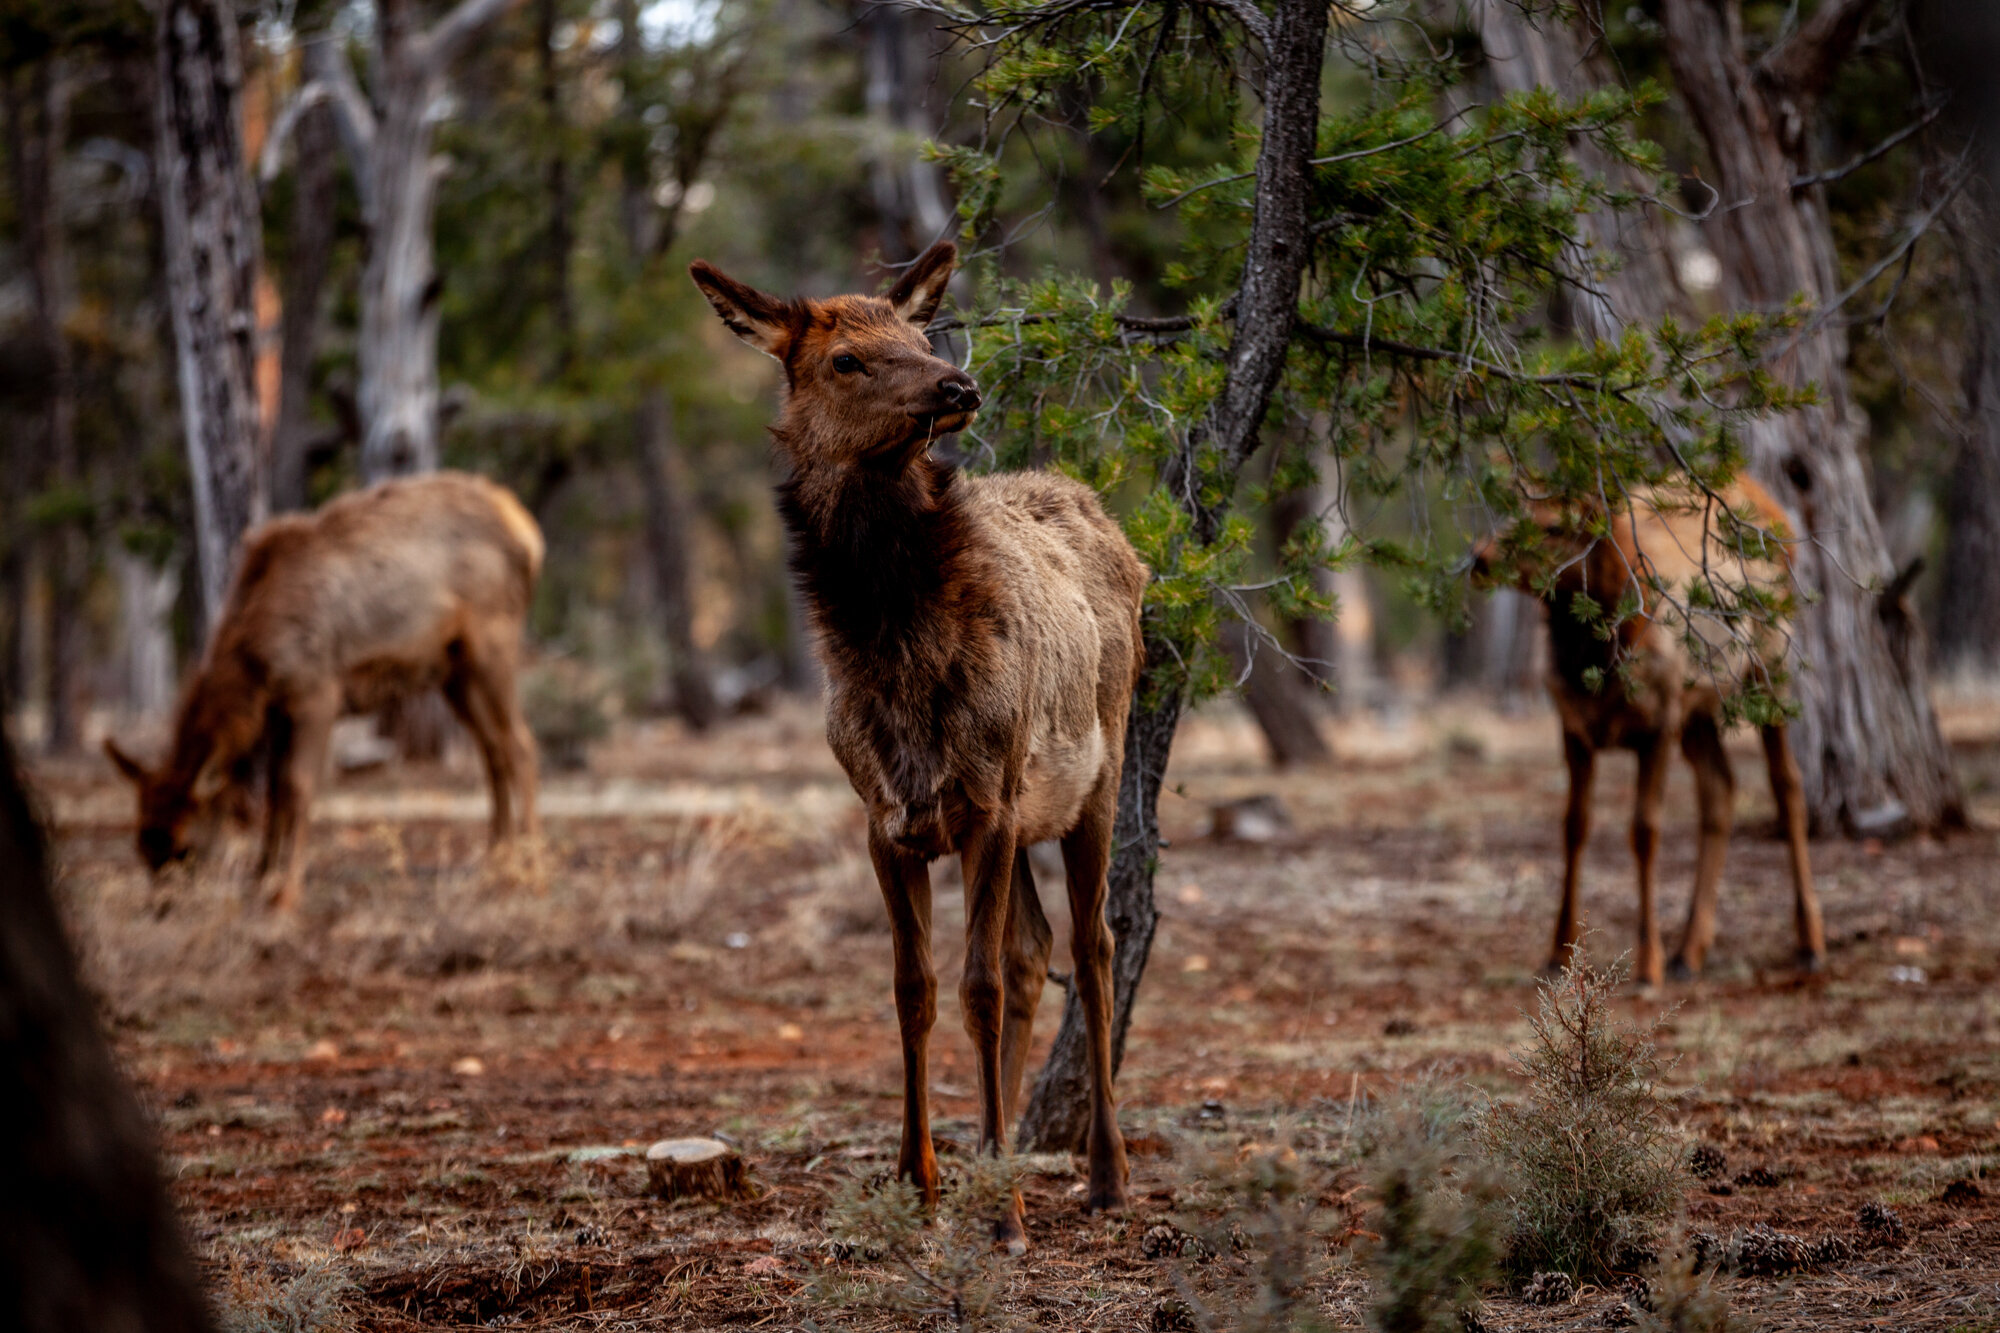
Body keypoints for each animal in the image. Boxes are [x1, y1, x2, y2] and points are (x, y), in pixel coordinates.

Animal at [105, 470, 544, 912]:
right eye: (141, 846)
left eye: (184, 847)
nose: (162, 907)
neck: (255, 666)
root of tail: (529, 536)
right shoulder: (279, 711)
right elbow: (274, 792)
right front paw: (261, 878)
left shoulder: (317, 692)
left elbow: (298, 788)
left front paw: (286, 892)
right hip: (453, 671)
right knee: (493, 751)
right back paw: (495, 862)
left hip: (492, 643)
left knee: (521, 744)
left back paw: (526, 870)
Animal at [696, 239, 1152, 1248]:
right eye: (846, 358)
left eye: (919, 333)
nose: (959, 385)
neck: (897, 649)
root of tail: (1105, 513)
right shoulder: (886, 816)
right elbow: (915, 987)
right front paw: (921, 1178)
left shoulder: (986, 802)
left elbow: (978, 985)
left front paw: (1007, 1216)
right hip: (1028, 810)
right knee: (1034, 947)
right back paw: (993, 1157)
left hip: (1094, 779)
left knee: (1095, 945)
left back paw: (1105, 1174)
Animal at [1472, 478, 1832, 984]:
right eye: (1510, 514)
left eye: (1555, 526)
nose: (1478, 559)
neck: (1597, 654)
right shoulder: (1573, 729)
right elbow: (1573, 827)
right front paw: (1558, 951)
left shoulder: (1657, 724)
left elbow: (1644, 832)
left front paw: (1648, 961)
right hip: (1698, 710)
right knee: (1720, 787)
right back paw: (1690, 949)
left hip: (1768, 670)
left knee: (1788, 786)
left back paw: (1810, 942)